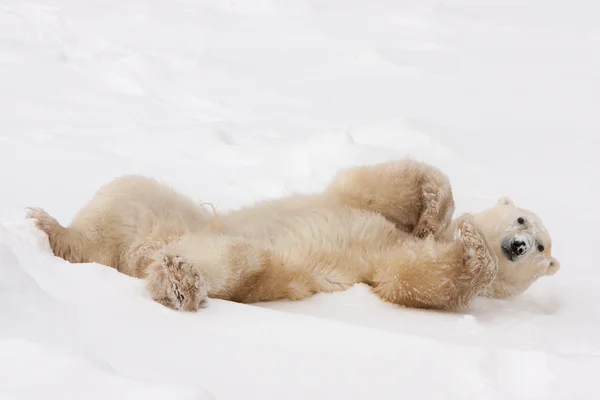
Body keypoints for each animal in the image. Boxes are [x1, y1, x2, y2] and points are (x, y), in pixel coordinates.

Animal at [23, 159, 556, 312]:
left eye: (543, 247)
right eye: (524, 221)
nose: (519, 246)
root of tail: (139, 253)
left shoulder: (387, 265)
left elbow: (413, 280)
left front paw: (474, 255)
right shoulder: (367, 209)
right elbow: (378, 185)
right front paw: (436, 211)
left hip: (243, 259)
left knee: (242, 263)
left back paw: (179, 279)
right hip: (167, 209)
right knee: (122, 197)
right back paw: (48, 227)